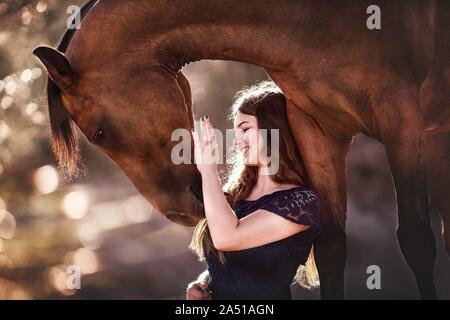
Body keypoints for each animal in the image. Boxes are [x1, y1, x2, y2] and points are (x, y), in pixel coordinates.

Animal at [33, 0, 450, 300]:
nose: (179, 213)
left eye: (100, 133)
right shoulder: (315, 129)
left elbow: (417, 241)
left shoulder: (400, 119)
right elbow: (331, 247)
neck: (316, 20)